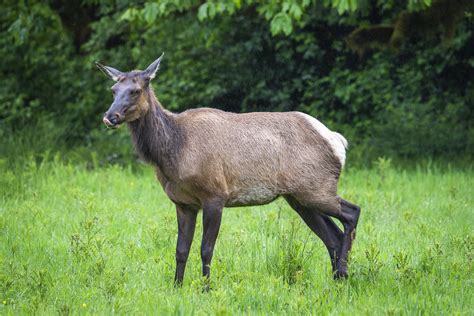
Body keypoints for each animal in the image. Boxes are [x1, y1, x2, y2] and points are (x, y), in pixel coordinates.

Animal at [96, 54, 362, 286]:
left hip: (316, 187)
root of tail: (339, 142)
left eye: (136, 90)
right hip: (299, 197)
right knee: (332, 237)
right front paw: (176, 287)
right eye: (113, 90)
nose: (110, 116)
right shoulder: (183, 202)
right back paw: (337, 280)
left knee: (352, 212)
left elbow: (206, 249)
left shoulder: (215, 194)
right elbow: (181, 249)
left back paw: (343, 273)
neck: (174, 151)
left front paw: (205, 288)